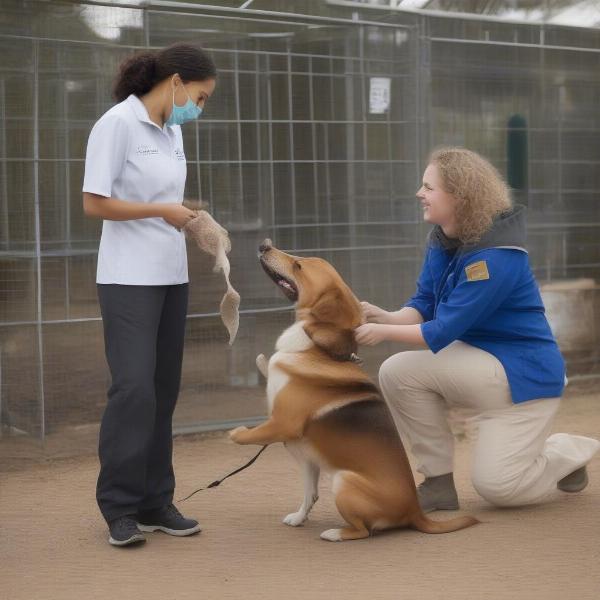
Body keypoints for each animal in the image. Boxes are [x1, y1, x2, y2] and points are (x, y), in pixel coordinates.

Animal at [230, 240, 478, 544]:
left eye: (298, 265)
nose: (265, 245)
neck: (318, 348)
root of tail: (415, 512)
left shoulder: (283, 422)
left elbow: (251, 434)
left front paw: (236, 433)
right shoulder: (307, 457)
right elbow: (309, 495)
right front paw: (299, 518)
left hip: (343, 481)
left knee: (363, 531)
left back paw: (335, 533)